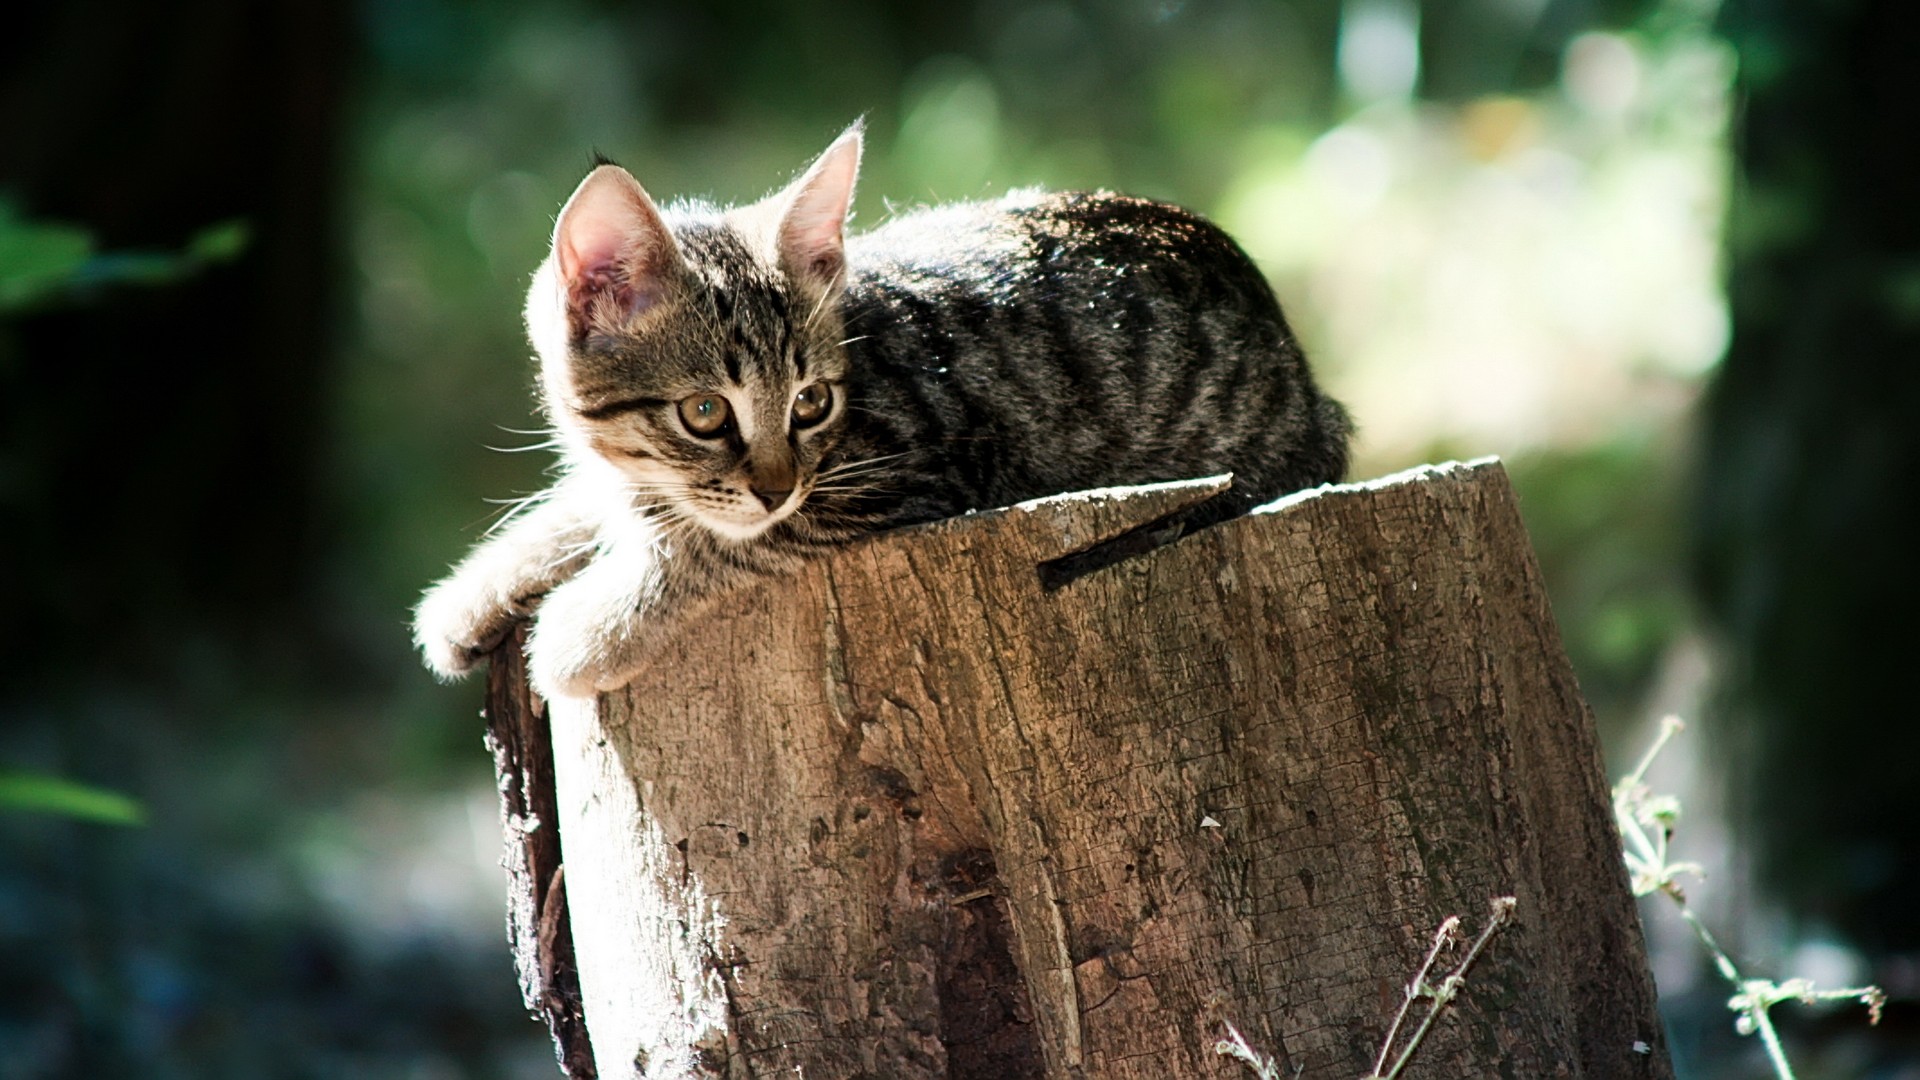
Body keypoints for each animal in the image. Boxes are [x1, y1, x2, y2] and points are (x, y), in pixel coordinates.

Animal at [414, 122, 1359, 699]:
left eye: (811, 403)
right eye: (705, 413)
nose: (775, 485)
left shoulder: (900, 478)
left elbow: (722, 547)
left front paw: (583, 631)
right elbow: (592, 504)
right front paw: (475, 591)